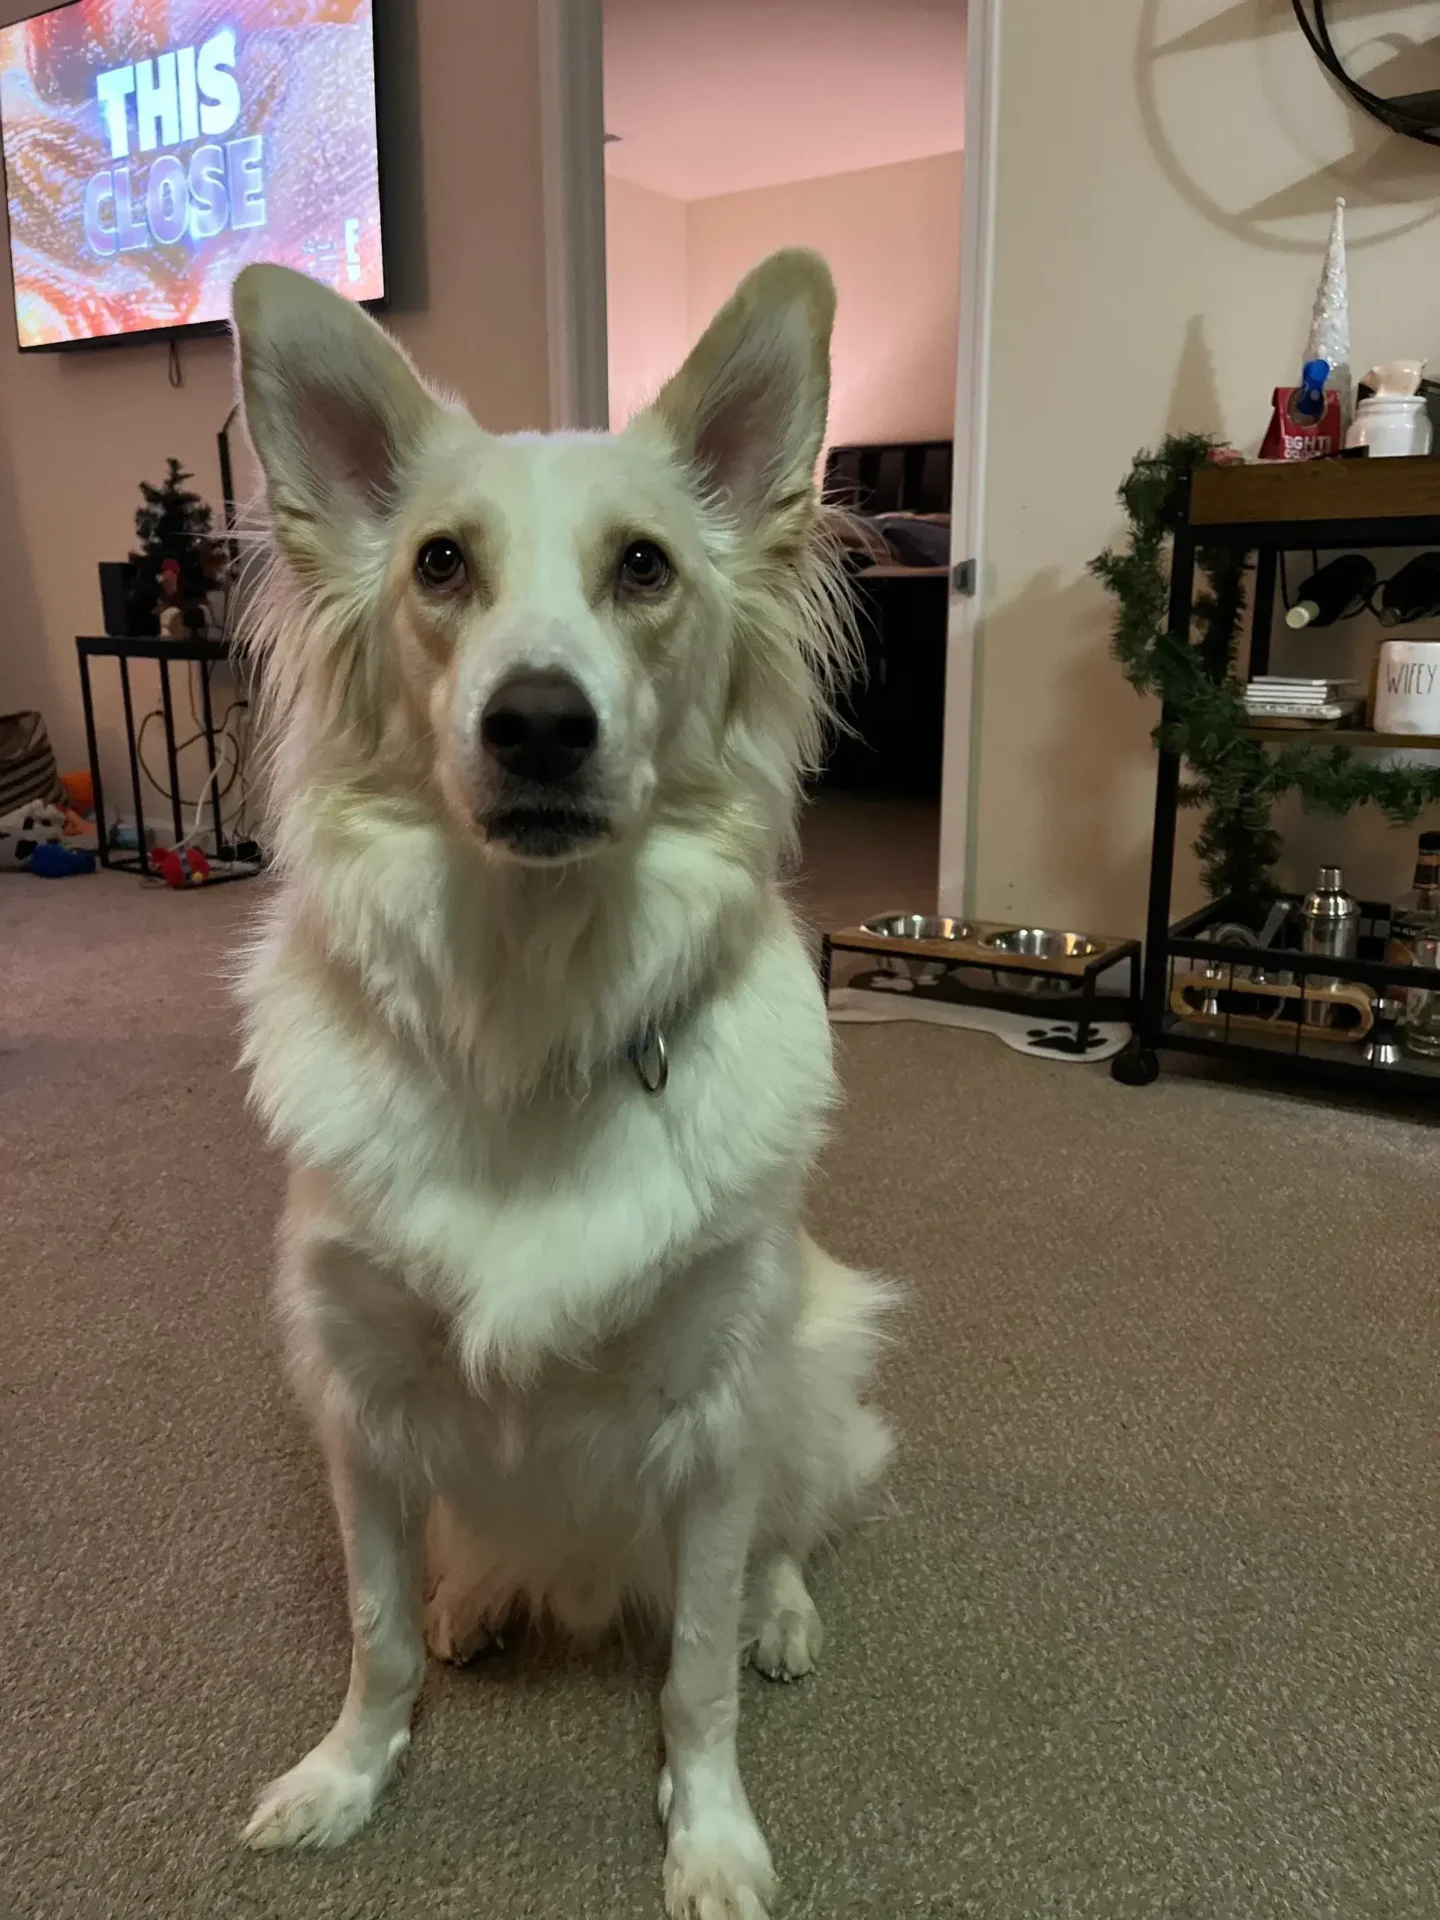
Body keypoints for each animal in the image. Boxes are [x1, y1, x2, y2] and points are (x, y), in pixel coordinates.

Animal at [231, 247, 898, 1912]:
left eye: (644, 569)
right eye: (439, 566)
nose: (538, 722)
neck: (530, 1002)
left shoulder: (714, 1419)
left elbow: (698, 1672)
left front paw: (711, 1835)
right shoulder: (362, 1402)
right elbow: (375, 1636)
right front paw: (348, 1776)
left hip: (812, 1355)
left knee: (792, 1529)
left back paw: (786, 1612)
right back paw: (478, 1593)